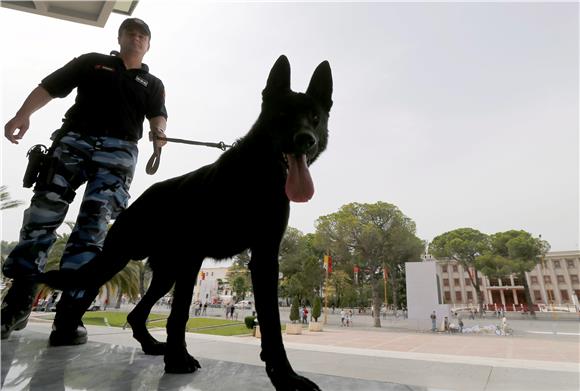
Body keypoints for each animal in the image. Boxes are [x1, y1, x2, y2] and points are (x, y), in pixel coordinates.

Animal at [42, 56, 330, 391]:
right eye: (283, 115)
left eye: (315, 118)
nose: (305, 140)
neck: (257, 176)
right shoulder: (194, 257)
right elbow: (178, 314)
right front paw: (178, 360)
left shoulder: (265, 258)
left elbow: (271, 322)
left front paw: (284, 375)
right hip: (119, 261)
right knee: (87, 294)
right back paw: (68, 335)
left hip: (166, 273)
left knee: (136, 314)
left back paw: (150, 345)